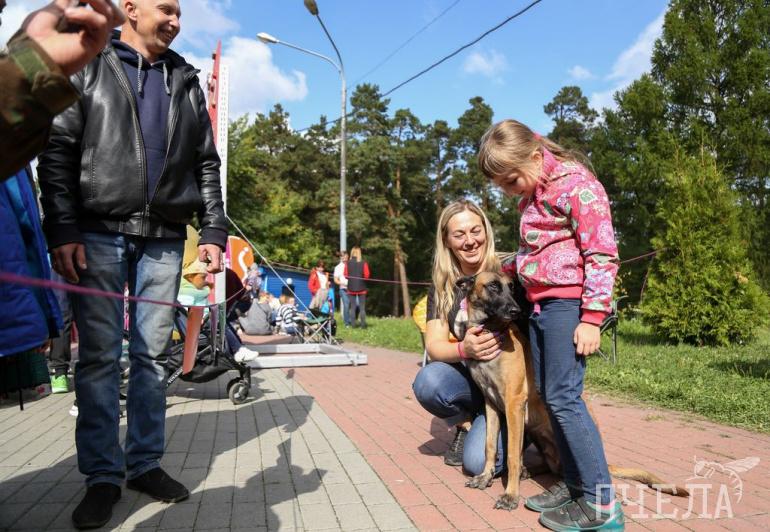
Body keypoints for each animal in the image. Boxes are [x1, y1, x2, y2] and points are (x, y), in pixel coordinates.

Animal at [457, 271, 689, 511]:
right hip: (534, 431)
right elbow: (490, 446)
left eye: (511, 288)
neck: (491, 330)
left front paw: (510, 495)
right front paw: (485, 476)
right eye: (493, 286)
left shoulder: (514, 404)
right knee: (550, 466)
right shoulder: (492, 404)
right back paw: (529, 470)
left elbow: (512, 454)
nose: (515, 310)